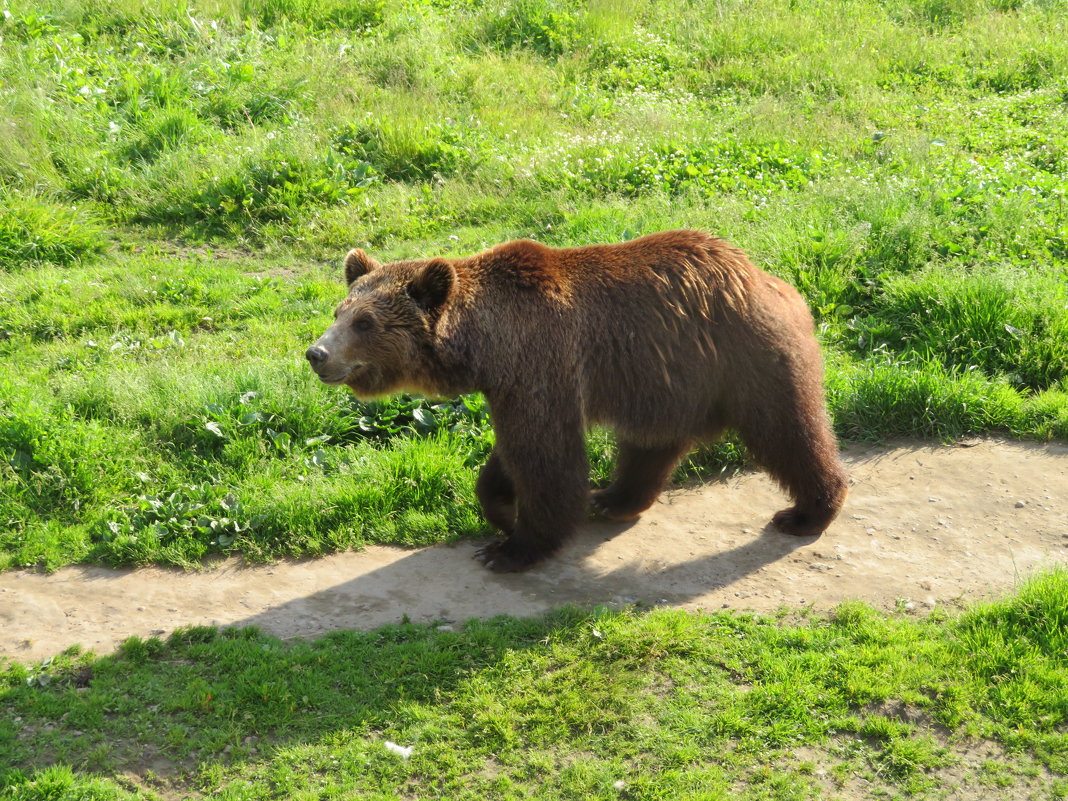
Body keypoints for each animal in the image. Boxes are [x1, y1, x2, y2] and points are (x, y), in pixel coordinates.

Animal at [309, 228, 850, 572]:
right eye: (339, 311)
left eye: (365, 322)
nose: (316, 353)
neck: (485, 345)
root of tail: (766, 276)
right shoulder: (514, 383)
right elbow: (514, 454)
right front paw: (499, 508)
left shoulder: (541, 363)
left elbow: (545, 455)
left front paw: (512, 548)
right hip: (665, 378)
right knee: (652, 441)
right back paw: (613, 497)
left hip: (745, 355)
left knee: (788, 429)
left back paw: (807, 511)